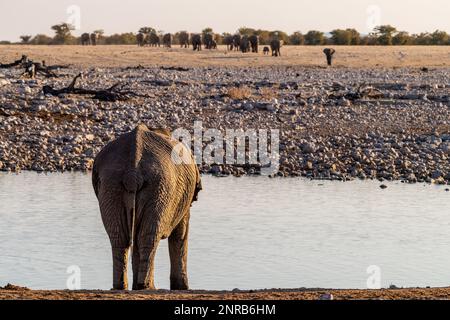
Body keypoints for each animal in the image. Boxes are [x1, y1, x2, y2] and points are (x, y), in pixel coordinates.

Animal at [92, 124, 201, 290]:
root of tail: (133, 172)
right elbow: (181, 233)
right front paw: (182, 288)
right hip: (161, 188)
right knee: (148, 236)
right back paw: (147, 286)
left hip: (111, 186)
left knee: (120, 237)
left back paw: (122, 286)